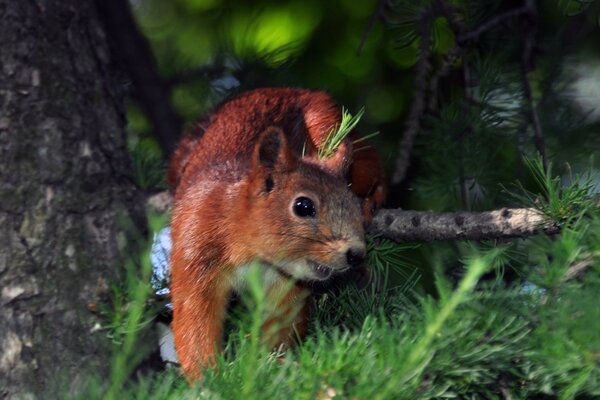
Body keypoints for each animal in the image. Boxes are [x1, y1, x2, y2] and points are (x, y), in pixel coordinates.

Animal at [168, 86, 384, 380]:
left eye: (350, 203)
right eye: (303, 206)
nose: (356, 254)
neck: (251, 252)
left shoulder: (288, 288)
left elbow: (279, 324)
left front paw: (268, 364)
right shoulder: (195, 255)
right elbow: (195, 321)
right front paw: (209, 377)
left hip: (332, 130)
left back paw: (373, 199)